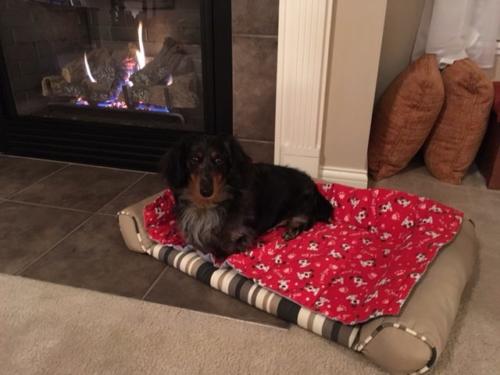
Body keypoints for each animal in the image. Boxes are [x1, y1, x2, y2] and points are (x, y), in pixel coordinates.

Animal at [160, 137, 332, 260]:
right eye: (194, 159)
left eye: (219, 160)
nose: (206, 191)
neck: (207, 206)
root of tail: (312, 183)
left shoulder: (243, 236)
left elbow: (224, 247)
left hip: (303, 205)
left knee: (308, 219)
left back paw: (293, 229)